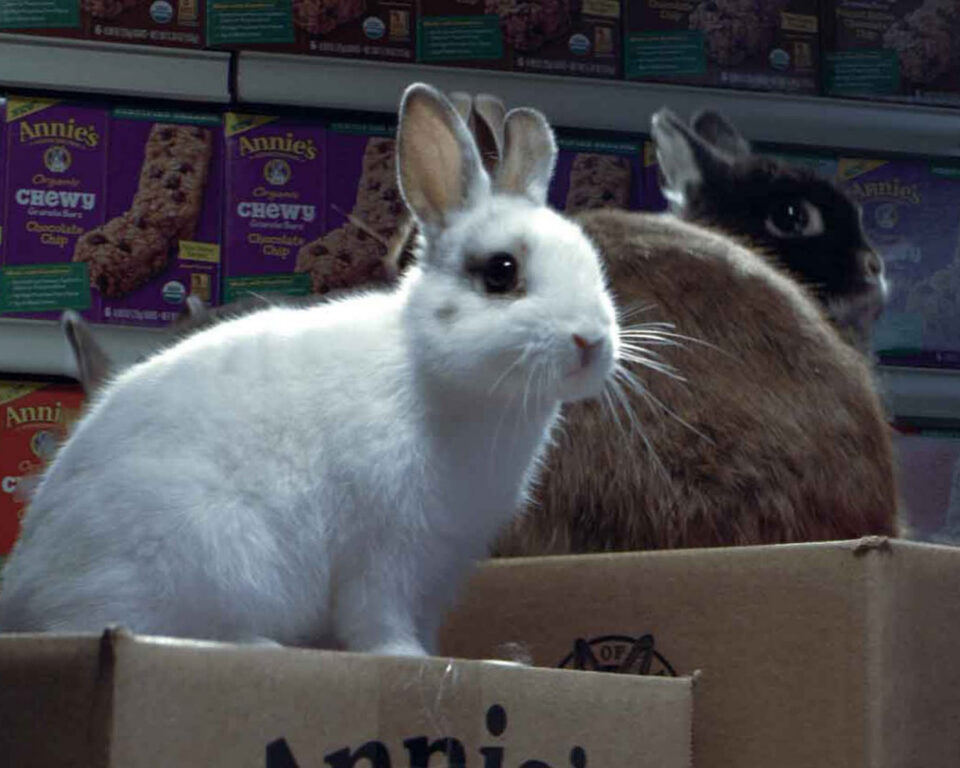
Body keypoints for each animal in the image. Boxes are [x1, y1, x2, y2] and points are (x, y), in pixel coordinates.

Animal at [0, 83, 619, 655]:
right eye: (501, 272)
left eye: (594, 264)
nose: (591, 340)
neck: (436, 375)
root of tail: (24, 598)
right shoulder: (386, 552)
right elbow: (379, 620)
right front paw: (405, 658)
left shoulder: (442, 565)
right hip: (211, 563)